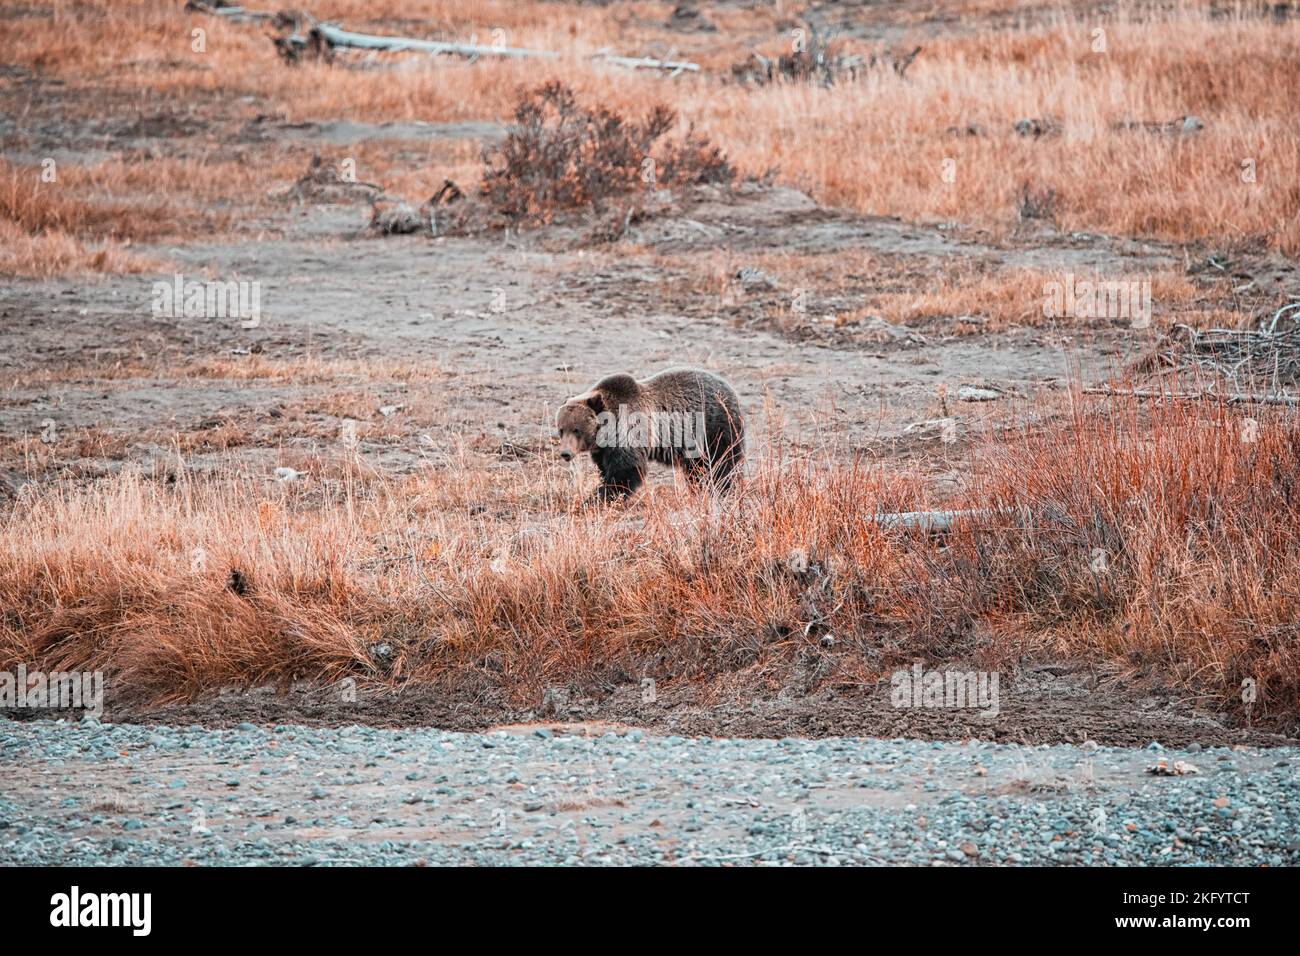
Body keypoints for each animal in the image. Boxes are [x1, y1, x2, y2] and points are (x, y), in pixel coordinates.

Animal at [556, 366, 748, 502]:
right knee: (697, 469)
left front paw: (597, 498)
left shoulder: (628, 432)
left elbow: (625, 471)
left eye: (576, 429)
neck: (605, 433)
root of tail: (731, 390)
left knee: (721, 463)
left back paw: (721, 489)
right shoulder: (604, 450)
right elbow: (606, 468)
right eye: (561, 429)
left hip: (714, 428)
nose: (565, 453)